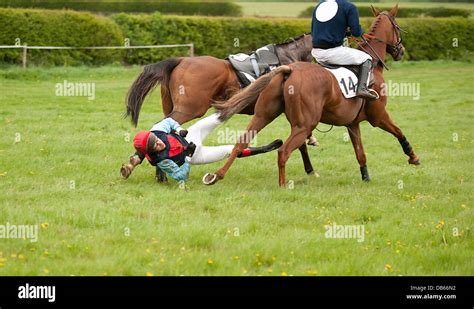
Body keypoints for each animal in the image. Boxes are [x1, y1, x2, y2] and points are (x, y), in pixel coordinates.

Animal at [206, 5, 420, 188]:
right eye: (397, 27)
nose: (401, 51)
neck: (372, 62)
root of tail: (289, 69)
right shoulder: (378, 116)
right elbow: (399, 131)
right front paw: (413, 157)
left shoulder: (352, 124)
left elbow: (360, 153)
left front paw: (366, 177)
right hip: (304, 124)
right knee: (283, 151)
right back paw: (282, 186)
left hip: (263, 116)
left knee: (240, 143)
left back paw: (216, 175)